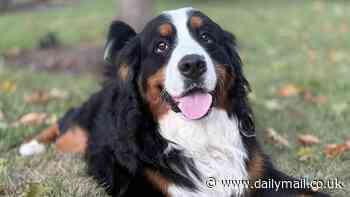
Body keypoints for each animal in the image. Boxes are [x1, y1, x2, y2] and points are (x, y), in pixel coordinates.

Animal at [19, 7, 330, 197]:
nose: (192, 64)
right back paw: (31, 144)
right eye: (161, 45)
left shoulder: (260, 173)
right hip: (77, 134)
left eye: (206, 37)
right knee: (67, 124)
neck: (199, 134)